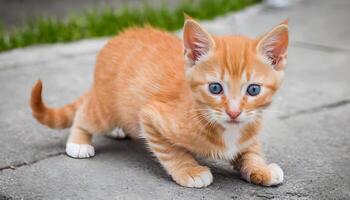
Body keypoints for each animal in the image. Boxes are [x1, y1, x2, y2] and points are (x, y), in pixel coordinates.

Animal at [30, 17, 288, 188]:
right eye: (215, 88)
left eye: (253, 90)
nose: (234, 112)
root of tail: (117, 37)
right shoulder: (150, 115)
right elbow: (171, 150)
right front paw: (189, 170)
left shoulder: (251, 126)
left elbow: (251, 150)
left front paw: (261, 168)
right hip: (107, 107)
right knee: (85, 114)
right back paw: (79, 143)